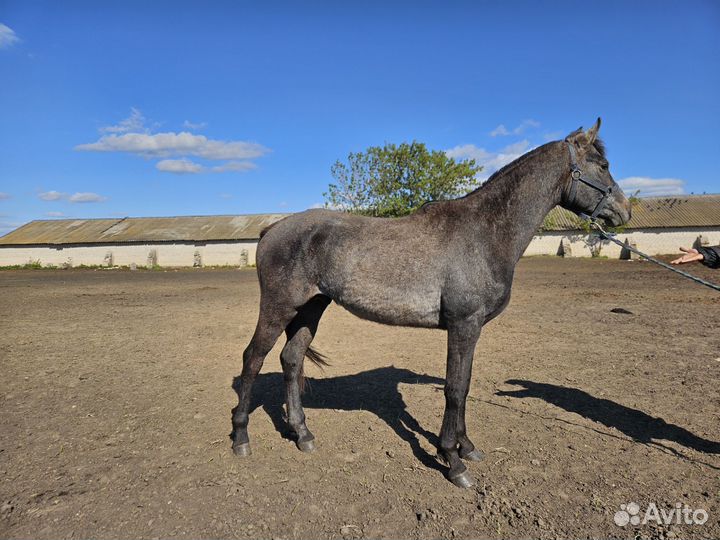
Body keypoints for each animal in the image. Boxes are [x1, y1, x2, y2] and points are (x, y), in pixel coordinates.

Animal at [231, 118, 632, 488]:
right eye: (603, 165)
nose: (625, 212)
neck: (484, 232)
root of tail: (272, 229)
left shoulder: (471, 329)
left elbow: (464, 385)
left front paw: (467, 447)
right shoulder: (463, 324)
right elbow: (454, 389)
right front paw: (453, 461)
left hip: (311, 307)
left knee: (291, 359)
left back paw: (302, 434)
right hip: (278, 307)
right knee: (252, 360)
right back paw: (241, 438)